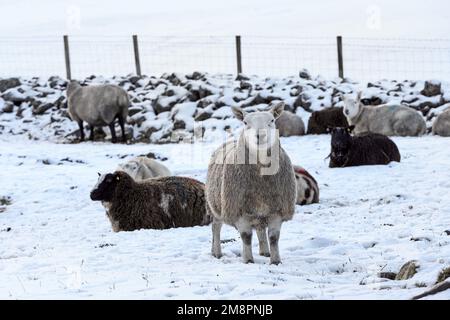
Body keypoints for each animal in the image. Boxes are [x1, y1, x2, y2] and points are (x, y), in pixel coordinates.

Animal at [206, 103, 298, 264]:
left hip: (259, 211)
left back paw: (265, 251)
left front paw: (275, 261)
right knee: (216, 228)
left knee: (261, 230)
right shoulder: (238, 210)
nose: (260, 135)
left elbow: (274, 238)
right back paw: (216, 252)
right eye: (245, 122)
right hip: (216, 206)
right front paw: (248, 260)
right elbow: (246, 238)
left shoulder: (277, 210)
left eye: (272, 120)